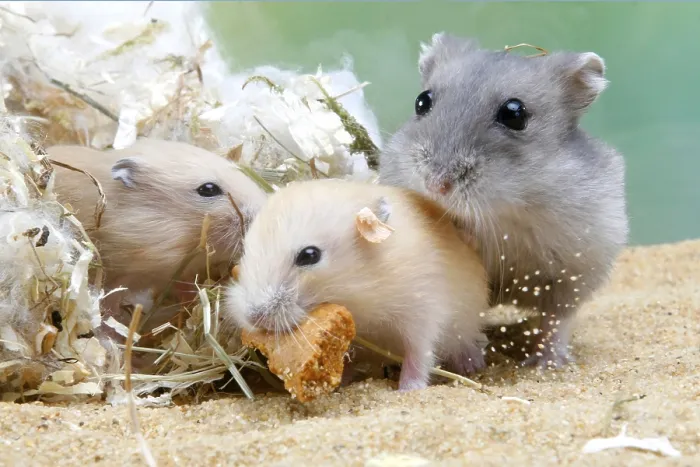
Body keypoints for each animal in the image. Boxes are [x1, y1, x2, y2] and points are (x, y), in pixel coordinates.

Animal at [225, 178, 490, 391]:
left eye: (310, 255)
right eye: (245, 251)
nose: (253, 317)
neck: (360, 290)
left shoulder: (422, 316)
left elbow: (418, 356)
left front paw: (408, 390)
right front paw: (338, 383)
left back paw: (472, 365)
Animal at [379, 33, 629, 369]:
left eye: (515, 113)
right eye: (422, 101)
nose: (436, 185)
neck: (506, 206)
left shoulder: (576, 270)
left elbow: (557, 319)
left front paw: (545, 364)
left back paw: (543, 362)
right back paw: (470, 362)